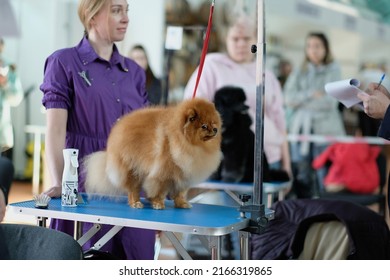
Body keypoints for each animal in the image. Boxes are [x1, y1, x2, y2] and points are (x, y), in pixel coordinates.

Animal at [83, 98, 221, 210]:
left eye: (214, 123)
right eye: (204, 126)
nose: (215, 129)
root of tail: (118, 127)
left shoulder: (184, 174)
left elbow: (180, 192)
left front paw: (182, 203)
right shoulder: (163, 174)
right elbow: (159, 190)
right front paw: (158, 204)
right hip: (132, 169)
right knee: (133, 190)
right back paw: (136, 203)